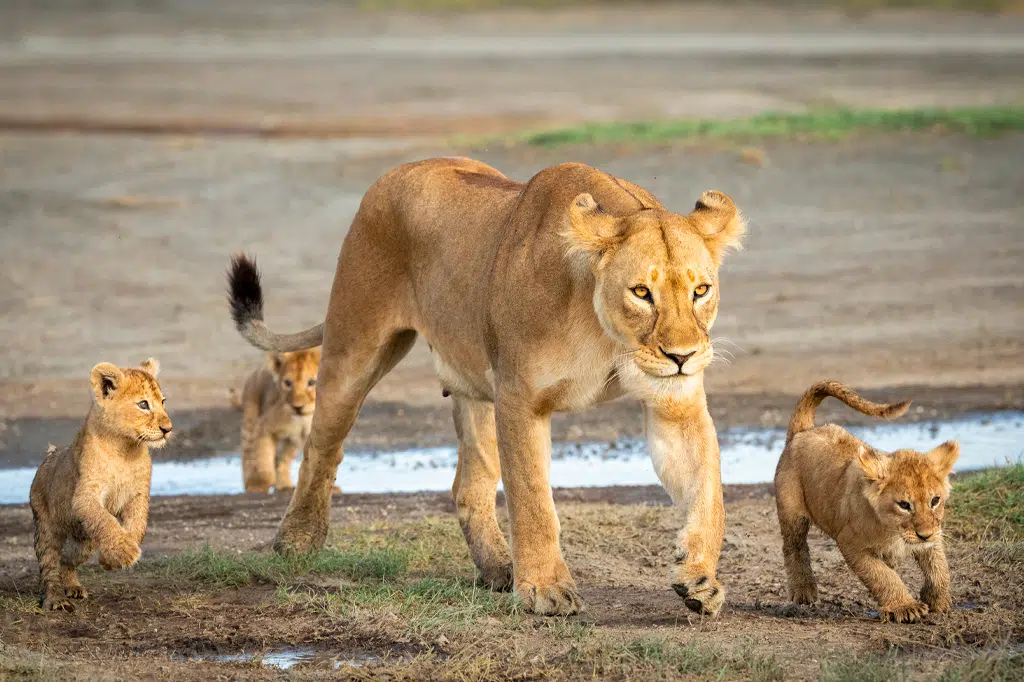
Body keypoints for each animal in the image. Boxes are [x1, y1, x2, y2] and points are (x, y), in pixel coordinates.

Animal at [29, 359, 171, 611]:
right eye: (143, 404)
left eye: (162, 402)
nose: (168, 428)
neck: (125, 449)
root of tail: (50, 455)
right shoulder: (85, 496)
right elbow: (106, 520)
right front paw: (125, 553)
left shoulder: (138, 496)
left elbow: (137, 526)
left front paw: (112, 558)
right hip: (46, 525)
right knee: (49, 564)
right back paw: (56, 598)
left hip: (84, 542)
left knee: (66, 560)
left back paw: (72, 587)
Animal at [229, 348, 321, 493]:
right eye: (288, 383)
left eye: (312, 382)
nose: (297, 407)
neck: (303, 420)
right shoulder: (264, 426)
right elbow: (263, 455)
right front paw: (261, 482)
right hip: (250, 418)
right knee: (248, 454)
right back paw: (251, 484)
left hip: (292, 442)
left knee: (281, 459)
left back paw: (284, 484)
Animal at [774, 380, 959, 623]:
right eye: (904, 505)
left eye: (935, 500)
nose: (924, 535)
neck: (892, 529)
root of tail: (803, 432)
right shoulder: (850, 543)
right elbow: (881, 575)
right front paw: (905, 606)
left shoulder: (934, 532)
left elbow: (939, 567)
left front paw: (938, 600)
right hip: (792, 514)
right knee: (794, 547)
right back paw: (804, 592)